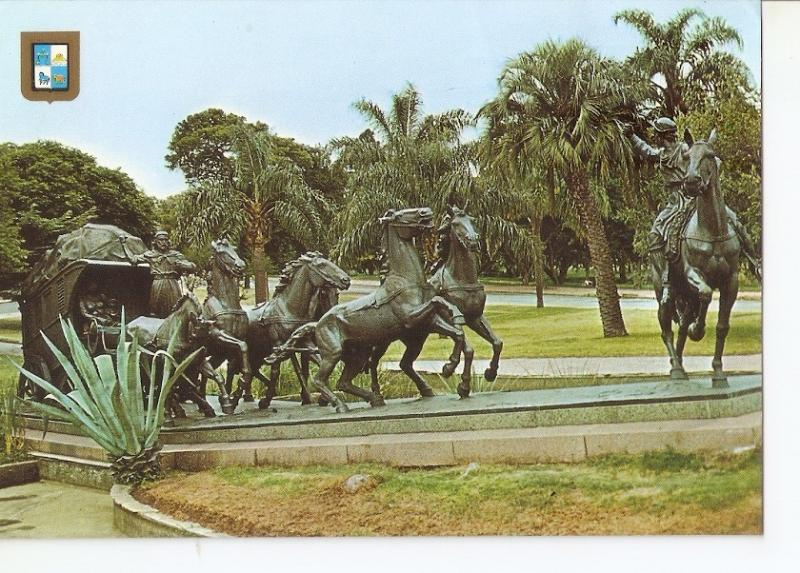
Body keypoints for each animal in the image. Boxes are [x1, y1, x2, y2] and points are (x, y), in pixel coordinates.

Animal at [223, 250, 352, 406]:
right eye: (322, 264)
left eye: (337, 294)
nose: (346, 280)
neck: (288, 309)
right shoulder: (278, 345)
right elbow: (277, 371)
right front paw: (266, 400)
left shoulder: (303, 343)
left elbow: (313, 363)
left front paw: (316, 397)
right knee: (234, 368)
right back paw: (232, 397)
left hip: (257, 352)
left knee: (250, 369)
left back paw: (244, 395)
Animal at [292, 208, 468, 408]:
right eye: (401, 215)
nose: (426, 212)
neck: (405, 281)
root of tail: (317, 324)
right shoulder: (411, 317)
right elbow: (437, 301)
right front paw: (449, 366)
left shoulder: (427, 320)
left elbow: (456, 330)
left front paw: (449, 365)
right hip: (332, 354)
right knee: (319, 380)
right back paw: (342, 405)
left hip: (357, 356)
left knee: (343, 382)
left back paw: (375, 398)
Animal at [368, 206, 494, 398]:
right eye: (455, 224)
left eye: (472, 220)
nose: (473, 242)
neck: (462, 280)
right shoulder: (452, 319)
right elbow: (468, 349)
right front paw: (460, 381)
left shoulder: (475, 318)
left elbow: (497, 343)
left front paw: (490, 373)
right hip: (385, 339)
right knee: (374, 361)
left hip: (415, 339)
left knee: (405, 364)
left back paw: (425, 390)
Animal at [660, 129, 740, 386]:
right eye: (686, 156)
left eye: (710, 155)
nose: (692, 182)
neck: (712, 231)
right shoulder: (693, 274)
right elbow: (705, 293)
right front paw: (699, 330)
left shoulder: (731, 282)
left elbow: (722, 326)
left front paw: (718, 372)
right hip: (667, 290)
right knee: (667, 327)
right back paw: (676, 368)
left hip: (685, 294)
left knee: (682, 324)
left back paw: (681, 365)